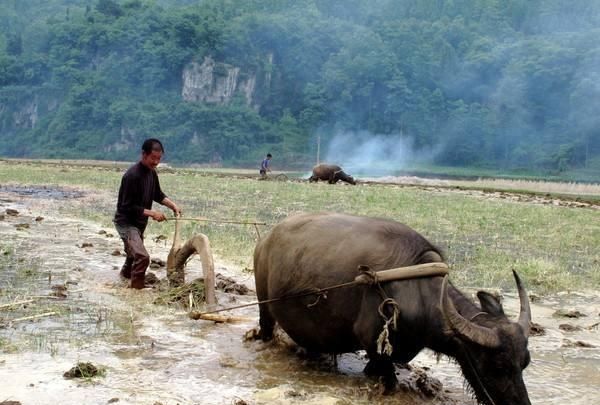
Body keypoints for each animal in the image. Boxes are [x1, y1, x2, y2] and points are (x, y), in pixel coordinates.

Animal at [253, 213, 536, 402]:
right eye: (496, 365)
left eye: (524, 363)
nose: (519, 403)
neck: (417, 290)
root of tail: (266, 240)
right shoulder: (373, 343)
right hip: (264, 305)